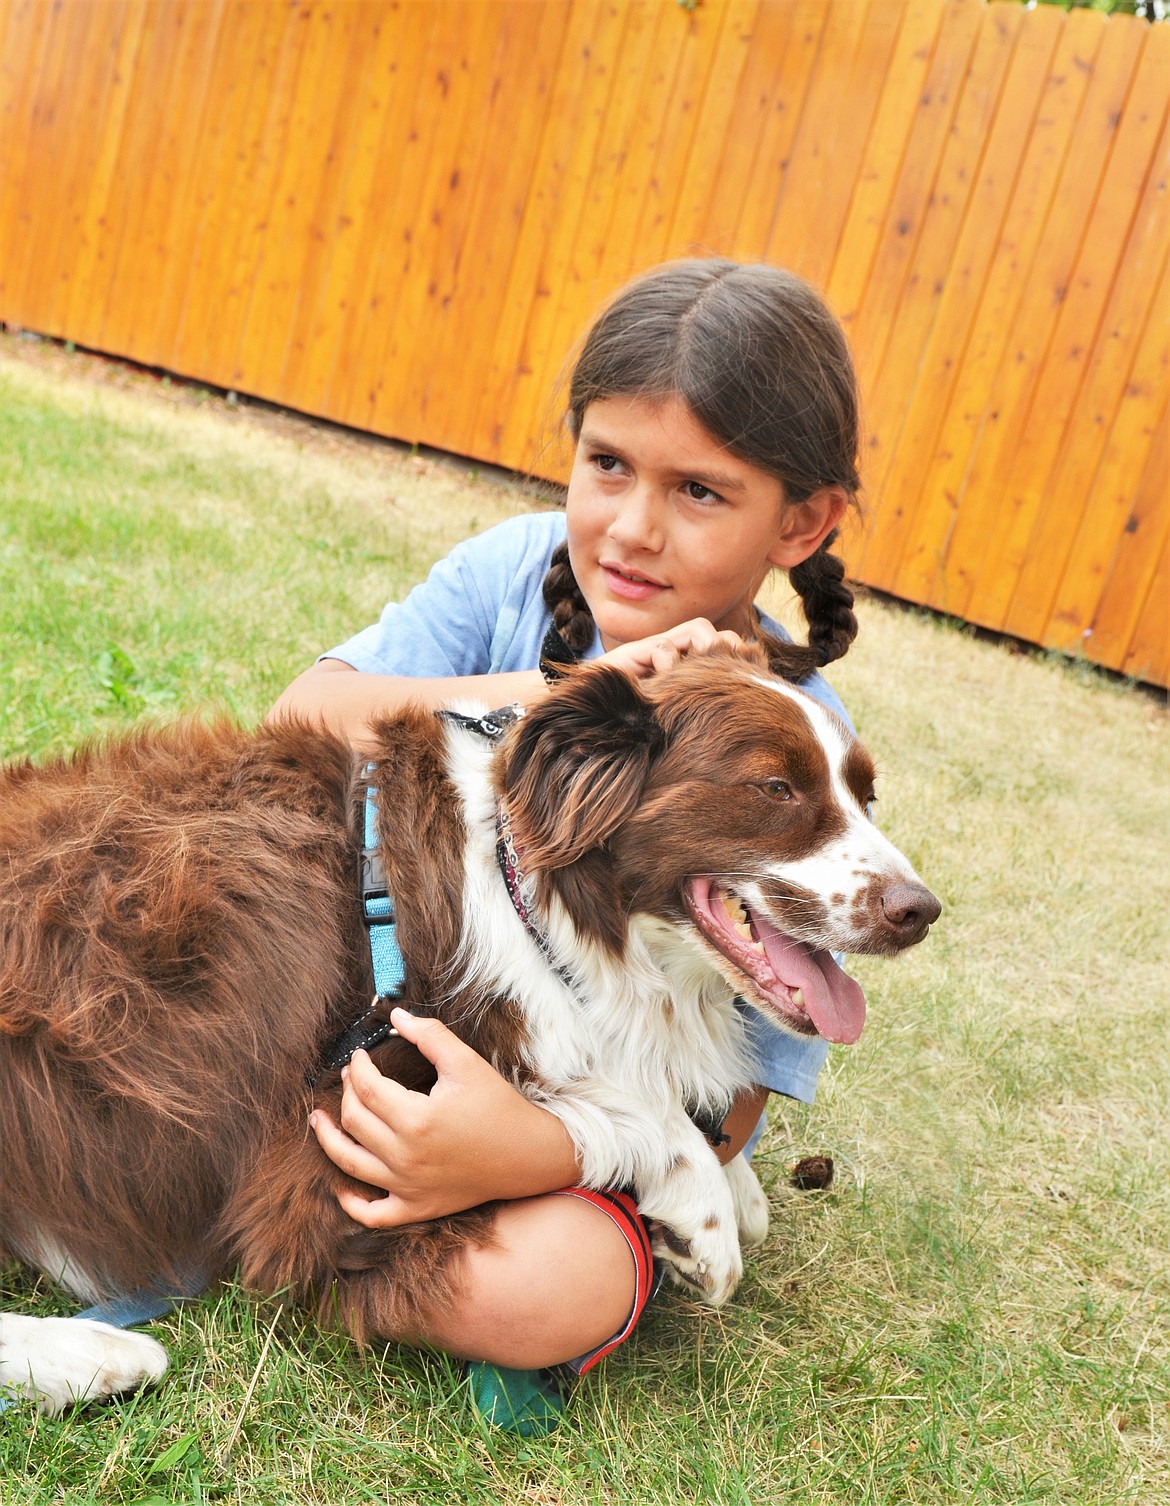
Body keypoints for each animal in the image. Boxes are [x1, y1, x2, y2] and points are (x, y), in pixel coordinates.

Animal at [0, 644, 933, 1409]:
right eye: (775, 788)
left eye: (867, 794)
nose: (921, 912)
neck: (538, 900)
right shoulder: (318, 1153)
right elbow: (611, 1102)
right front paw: (698, 1205)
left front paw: (730, 1184)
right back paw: (92, 1358)